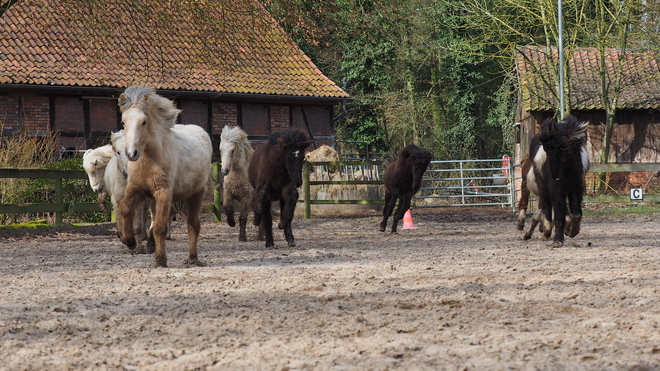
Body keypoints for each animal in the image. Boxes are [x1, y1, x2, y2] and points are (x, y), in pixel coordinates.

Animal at [117, 85, 213, 268]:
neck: (149, 160)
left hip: (196, 194)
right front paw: (130, 241)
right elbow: (125, 208)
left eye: (144, 122)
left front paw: (161, 260)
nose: (131, 154)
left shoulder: (163, 192)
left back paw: (193, 258)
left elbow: (161, 227)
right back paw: (150, 244)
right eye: (123, 122)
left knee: (193, 225)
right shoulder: (136, 188)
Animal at [532, 117, 592, 247]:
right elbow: (559, 216)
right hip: (543, 188)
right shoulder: (557, 191)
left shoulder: (576, 189)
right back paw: (547, 230)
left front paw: (573, 231)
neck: (567, 170)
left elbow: (576, 214)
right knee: (548, 206)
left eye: (561, 148)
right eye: (546, 149)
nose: (555, 176)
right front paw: (558, 240)